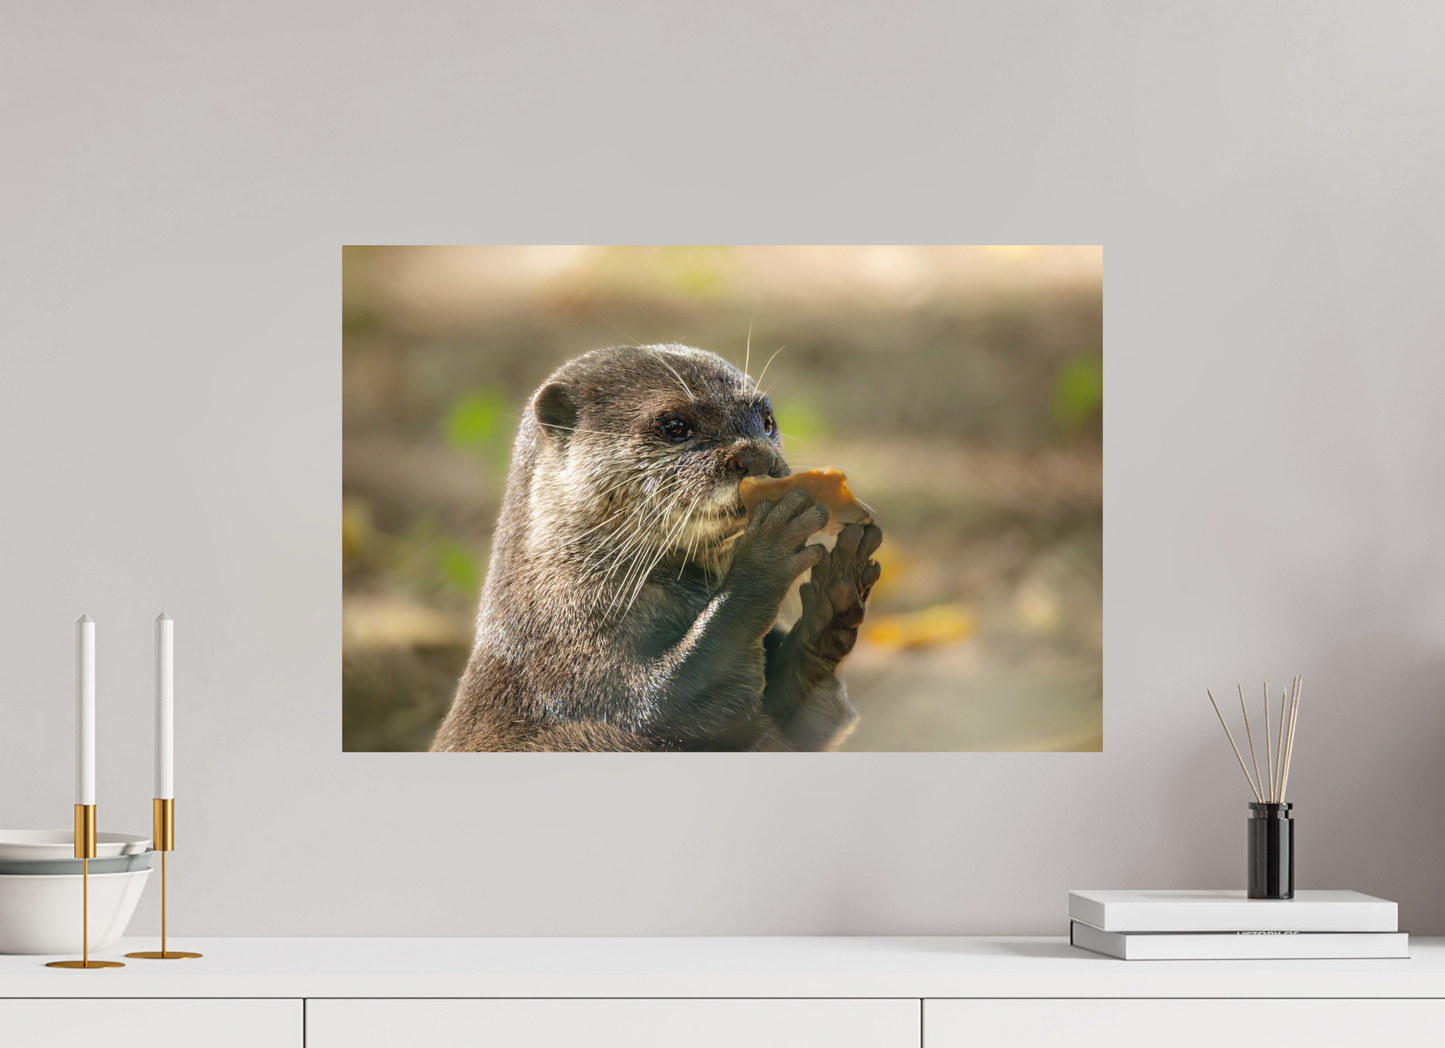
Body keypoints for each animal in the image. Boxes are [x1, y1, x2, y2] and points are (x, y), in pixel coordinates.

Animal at [430, 344, 883, 752]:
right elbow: (664, 701)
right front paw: (767, 553)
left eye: (768, 420)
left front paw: (836, 591)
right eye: (675, 425)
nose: (758, 456)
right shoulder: (569, 665)